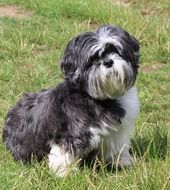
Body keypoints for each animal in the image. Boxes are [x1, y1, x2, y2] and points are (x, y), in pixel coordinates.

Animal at [2, 24, 140, 177]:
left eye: (115, 50)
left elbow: (117, 147)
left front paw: (122, 163)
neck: (101, 99)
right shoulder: (71, 132)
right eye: (92, 58)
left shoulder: (117, 132)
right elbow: (64, 152)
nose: (108, 61)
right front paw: (63, 174)